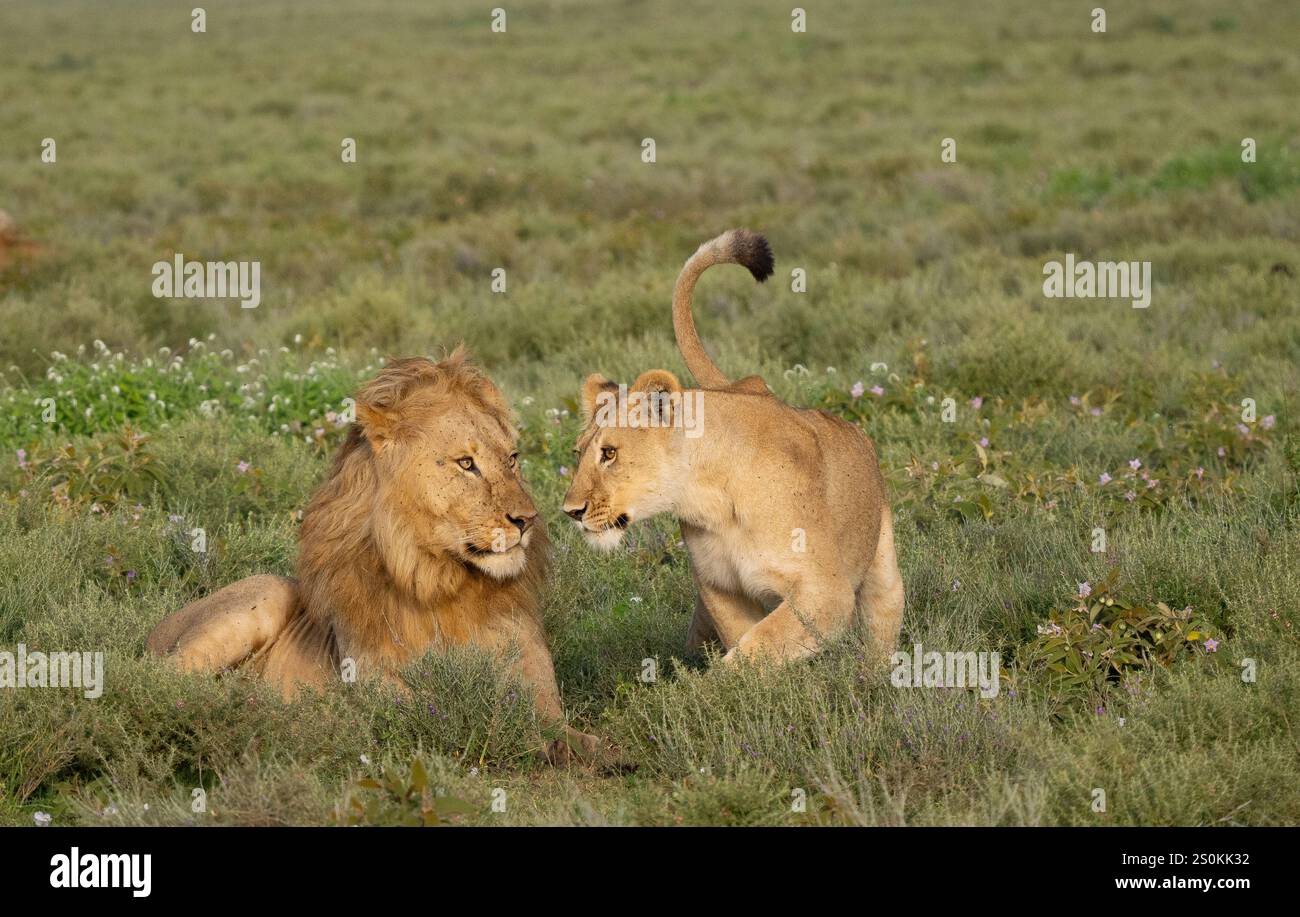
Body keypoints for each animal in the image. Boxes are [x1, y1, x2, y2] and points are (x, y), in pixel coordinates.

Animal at [147, 349, 600, 763]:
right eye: (466, 463)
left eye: (512, 459)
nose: (527, 519)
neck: (446, 584)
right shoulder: (386, 691)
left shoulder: (536, 679)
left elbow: (566, 729)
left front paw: (580, 748)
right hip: (264, 594)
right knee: (163, 683)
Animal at [561, 229, 905, 665]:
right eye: (578, 454)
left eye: (610, 453)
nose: (570, 511)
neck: (712, 499)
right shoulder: (721, 589)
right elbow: (747, 645)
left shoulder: (826, 592)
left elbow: (754, 651)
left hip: (883, 571)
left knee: (881, 619)